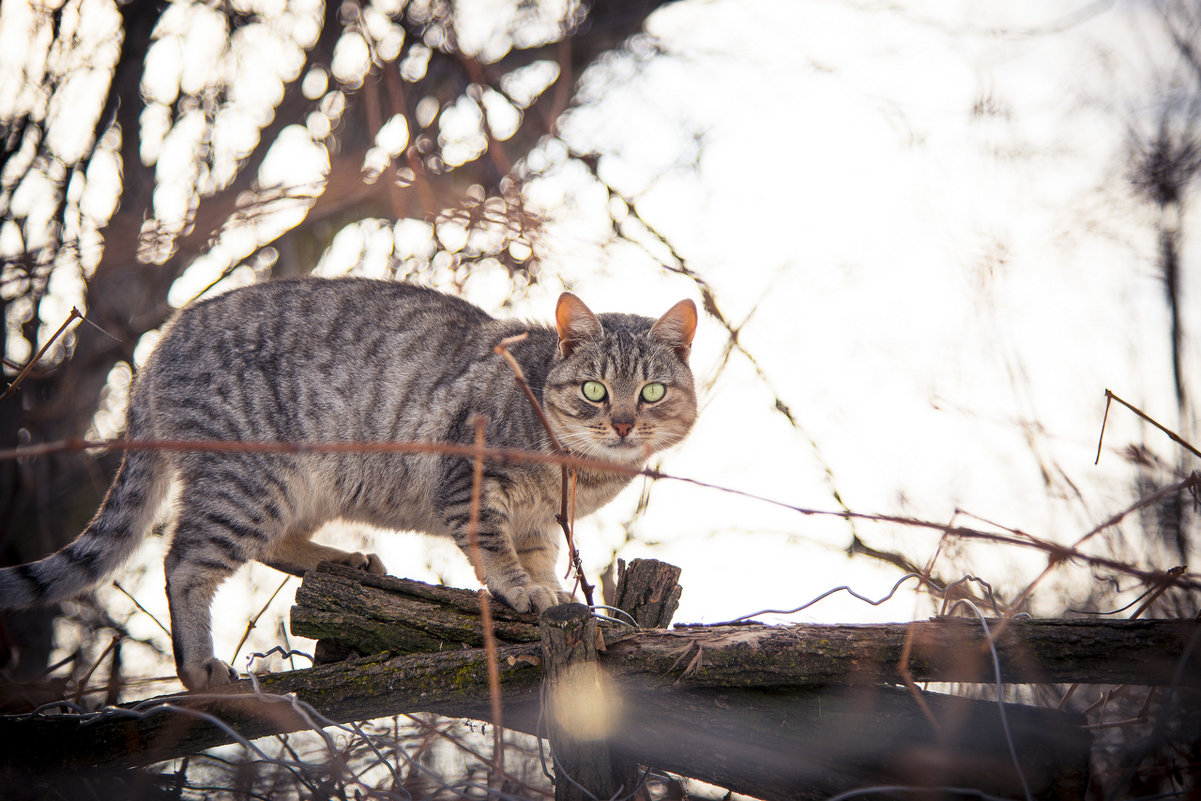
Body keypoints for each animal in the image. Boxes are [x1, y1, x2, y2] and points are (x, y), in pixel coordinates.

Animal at [0, 277, 701, 691]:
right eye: (595, 390)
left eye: (652, 391)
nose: (622, 422)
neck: (581, 473)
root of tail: (155, 353)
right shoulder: (471, 482)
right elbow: (494, 548)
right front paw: (522, 590)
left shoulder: (540, 522)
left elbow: (539, 559)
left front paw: (550, 590)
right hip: (252, 481)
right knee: (184, 563)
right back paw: (198, 664)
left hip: (302, 487)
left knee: (268, 545)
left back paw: (344, 561)